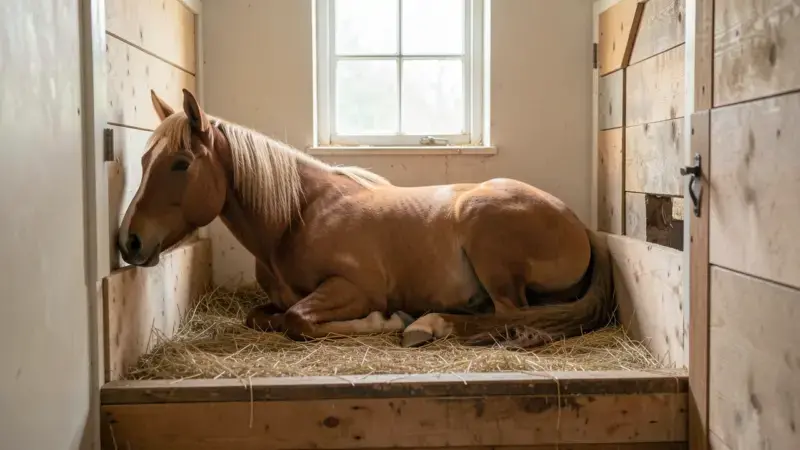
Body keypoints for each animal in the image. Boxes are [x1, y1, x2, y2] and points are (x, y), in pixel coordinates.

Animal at [117, 88, 614, 348]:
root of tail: (578, 223)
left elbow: (297, 320)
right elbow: (261, 317)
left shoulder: (353, 289)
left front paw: (385, 321)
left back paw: (426, 324)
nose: (129, 240)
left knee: (508, 315)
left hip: (486, 237)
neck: (301, 216)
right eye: (144, 159)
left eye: (181, 163)